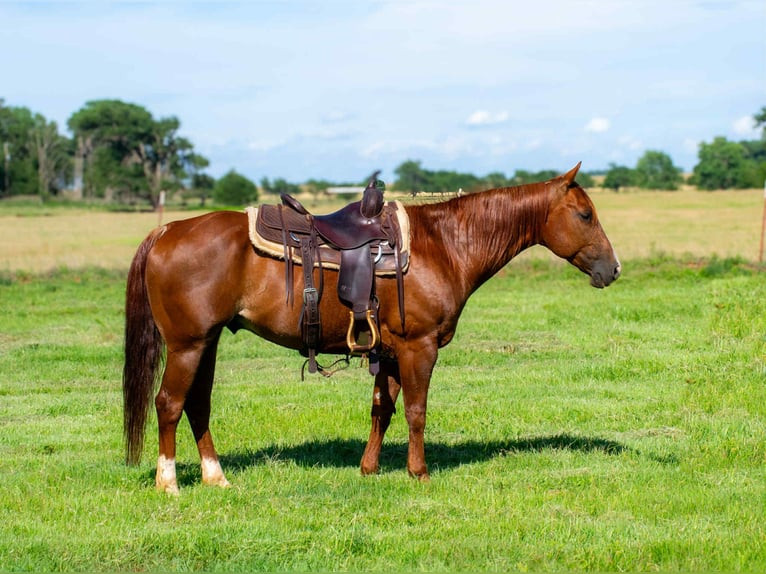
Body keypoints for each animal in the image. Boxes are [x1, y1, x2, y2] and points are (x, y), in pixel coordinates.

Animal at [123, 162, 620, 494]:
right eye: (585, 215)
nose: (612, 269)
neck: (444, 245)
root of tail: (165, 231)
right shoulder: (420, 347)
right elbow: (416, 411)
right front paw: (419, 472)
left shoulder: (391, 351)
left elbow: (383, 408)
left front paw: (369, 468)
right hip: (187, 345)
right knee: (169, 403)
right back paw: (169, 483)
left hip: (206, 343)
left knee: (197, 405)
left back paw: (216, 477)